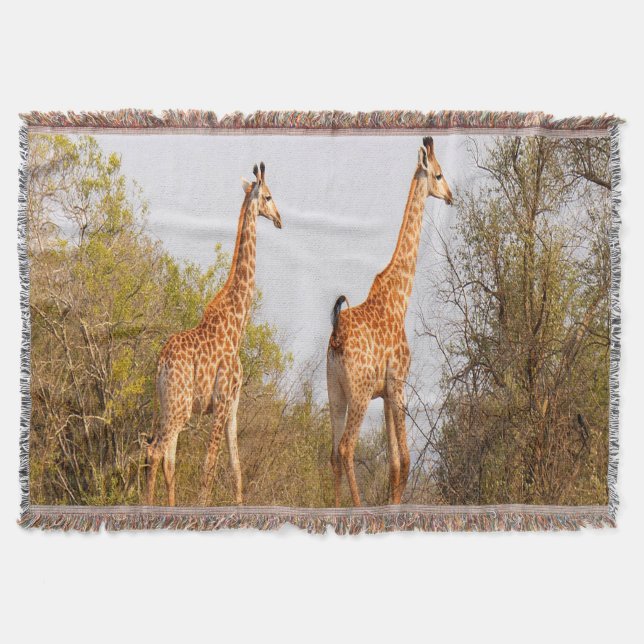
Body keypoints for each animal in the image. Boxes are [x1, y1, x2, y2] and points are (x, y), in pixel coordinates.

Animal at [145, 162, 282, 506]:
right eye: (269, 196)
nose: (279, 219)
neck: (236, 326)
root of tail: (161, 363)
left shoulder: (233, 405)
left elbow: (236, 470)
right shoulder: (220, 402)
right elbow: (208, 468)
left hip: (168, 405)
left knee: (167, 460)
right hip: (179, 407)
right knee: (155, 452)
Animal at [326, 137, 453, 507]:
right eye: (438, 174)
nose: (451, 196)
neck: (400, 299)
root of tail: (336, 335)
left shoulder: (383, 393)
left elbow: (395, 462)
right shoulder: (398, 383)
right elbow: (406, 460)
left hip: (335, 392)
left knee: (333, 453)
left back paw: (335, 508)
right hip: (358, 392)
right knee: (346, 448)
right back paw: (356, 508)